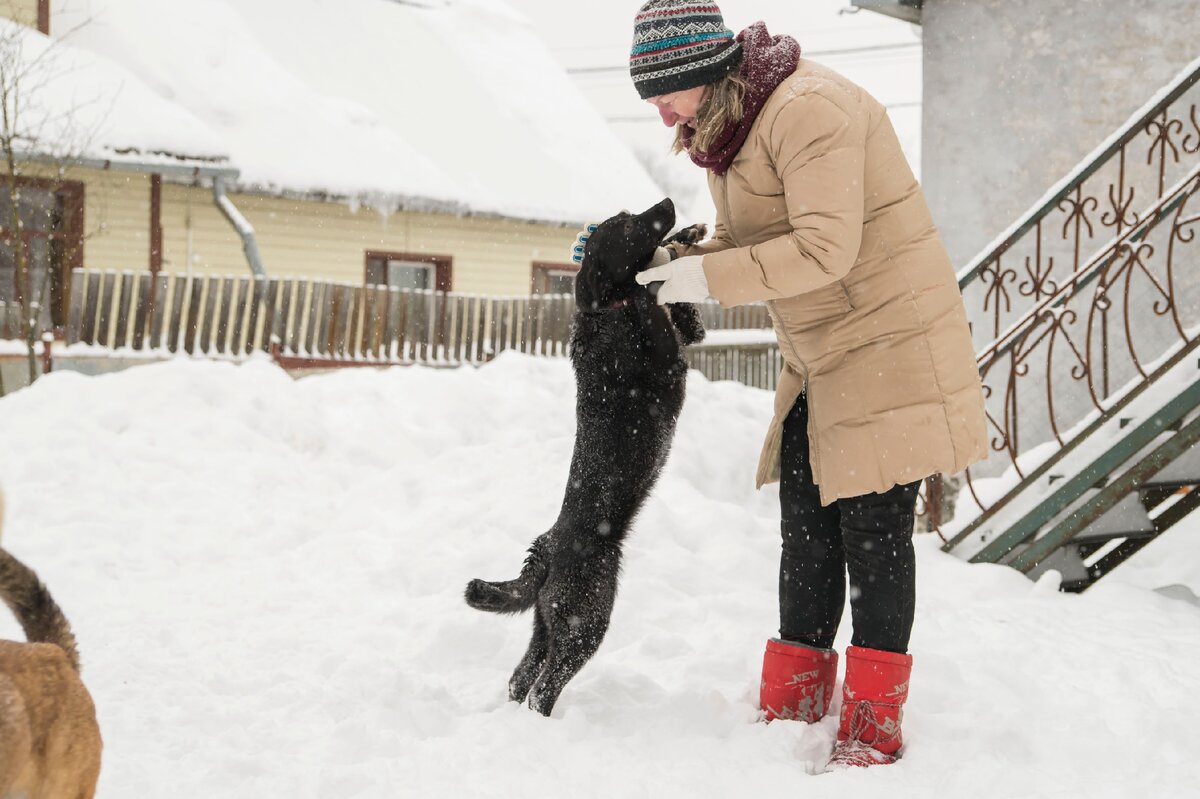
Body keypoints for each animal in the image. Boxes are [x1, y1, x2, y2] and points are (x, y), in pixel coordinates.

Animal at [460, 195, 700, 710]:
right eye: (627, 226)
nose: (669, 202)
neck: (606, 311)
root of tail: (547, 551)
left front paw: (687, 236)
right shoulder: (668, 358)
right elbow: (653, 293)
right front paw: (665, 260)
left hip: (545, 625)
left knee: (521, 678)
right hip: (584, 622)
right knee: (543, 687)